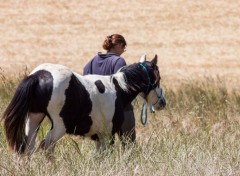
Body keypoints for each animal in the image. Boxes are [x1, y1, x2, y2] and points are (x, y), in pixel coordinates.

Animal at [1, 54, 166, 155]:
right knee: (46, 145)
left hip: (34, 118)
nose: (162, 103)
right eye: (158, 78)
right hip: (59, 126)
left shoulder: (99, 138)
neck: (118, 89)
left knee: (28, 145)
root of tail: (39, 75)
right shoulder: (107, 136)